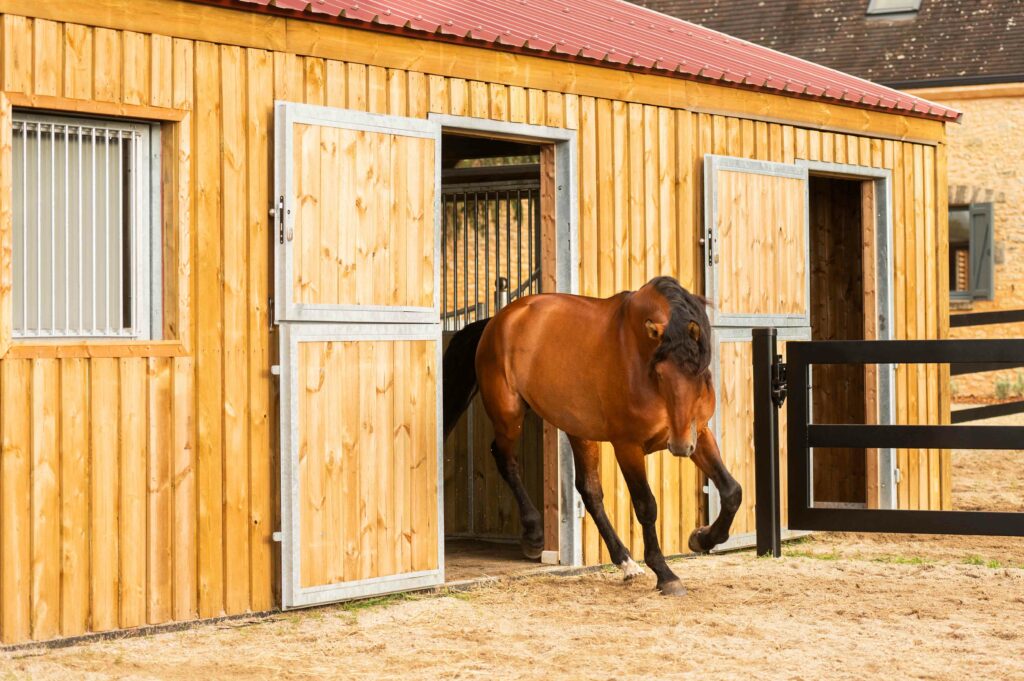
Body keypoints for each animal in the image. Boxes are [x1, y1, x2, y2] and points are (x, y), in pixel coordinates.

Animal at [438, 276, 737, 593]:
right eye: (659, 373)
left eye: (699, 372)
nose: (680, 447)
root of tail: (498, 320)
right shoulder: (628, 446)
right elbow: (646, 505)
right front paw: (666, 574)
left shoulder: (699, 433)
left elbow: (732, 491)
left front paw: (702, 538)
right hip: (509, 414)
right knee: (505, 459)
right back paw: (534, 535)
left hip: (578, 430)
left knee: (589, 491)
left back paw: (626, 562)